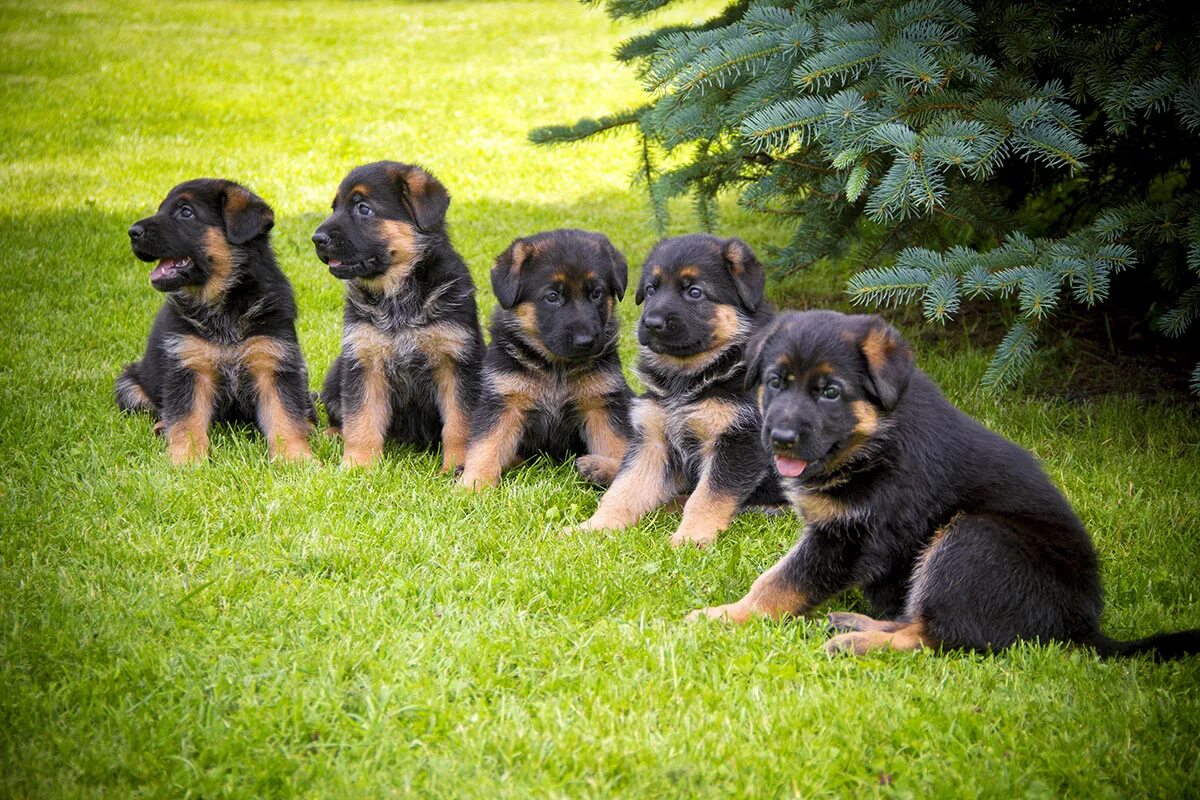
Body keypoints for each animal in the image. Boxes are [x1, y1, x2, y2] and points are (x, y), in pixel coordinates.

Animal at [113, 178, 314, 465]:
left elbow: (284, 414)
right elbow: (186, 419)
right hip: (128, 385)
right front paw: (186, 459)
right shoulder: (189, 367)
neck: (223, 307)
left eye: (186, 212)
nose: (132, 232)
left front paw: (296, 457)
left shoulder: (272, 362)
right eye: (161, 209)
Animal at [312, 161, 484, 470]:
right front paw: (358, 466)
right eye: (335, 207)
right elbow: (361, 420)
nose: (316, 239)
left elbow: (459, 422)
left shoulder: (456, 363)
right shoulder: (364, 360)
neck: (397, 295)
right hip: (337, 370)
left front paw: (457, 466)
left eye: (363, 208)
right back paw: (332, 434)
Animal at [456, 227, 633, 491]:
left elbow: (617, 445)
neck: (556, 367)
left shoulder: (602, 404)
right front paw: (473, 485)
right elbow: (486, 445)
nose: (586, 341)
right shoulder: (503, 402)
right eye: (552, 296)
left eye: (596, 294)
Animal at [566, 231, 782, 544]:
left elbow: (707, 497)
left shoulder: (738, 441)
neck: (690, 376)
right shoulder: (653, 437)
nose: (651, 323)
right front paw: (595, 527)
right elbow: (626, 489)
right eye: (651, 290)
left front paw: (690, 539)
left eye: (694, 292)